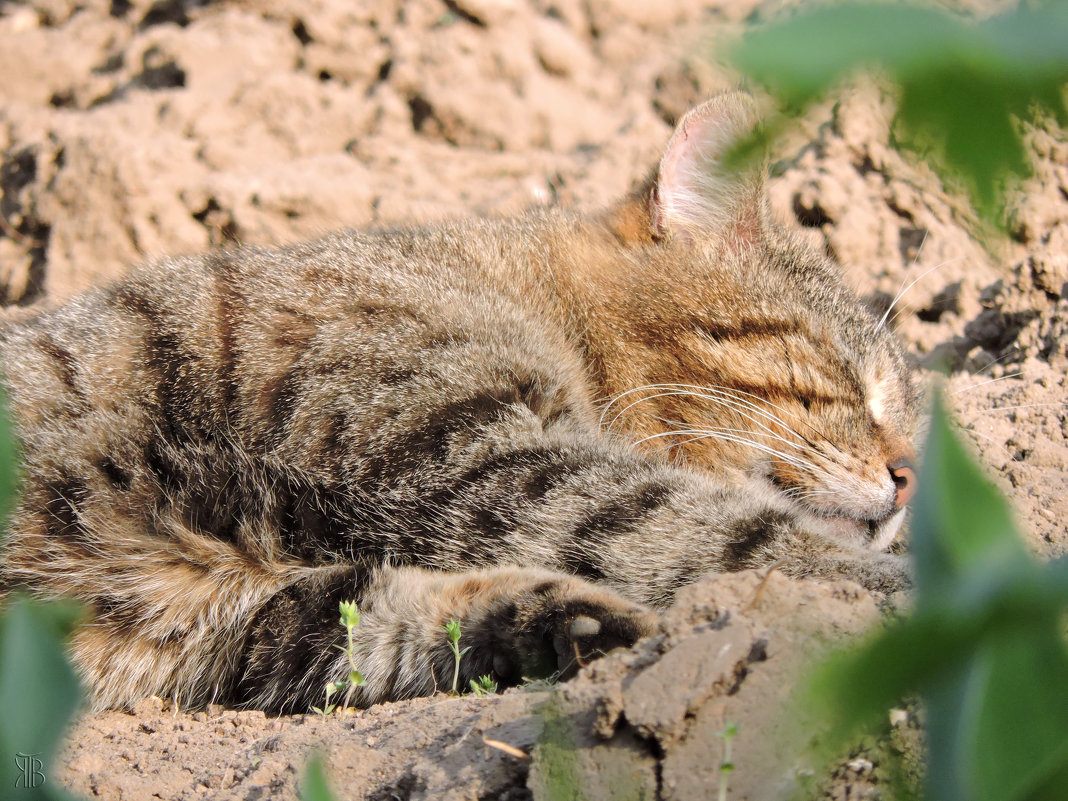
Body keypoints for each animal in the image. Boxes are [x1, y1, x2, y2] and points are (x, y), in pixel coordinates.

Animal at [0, 93, 918, 713]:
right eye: (852, 378)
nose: (911, 475)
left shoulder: (236, 613)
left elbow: (376, 621)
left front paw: (558, 624)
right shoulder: (474, 455)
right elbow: (722, 529)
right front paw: (917, 588)